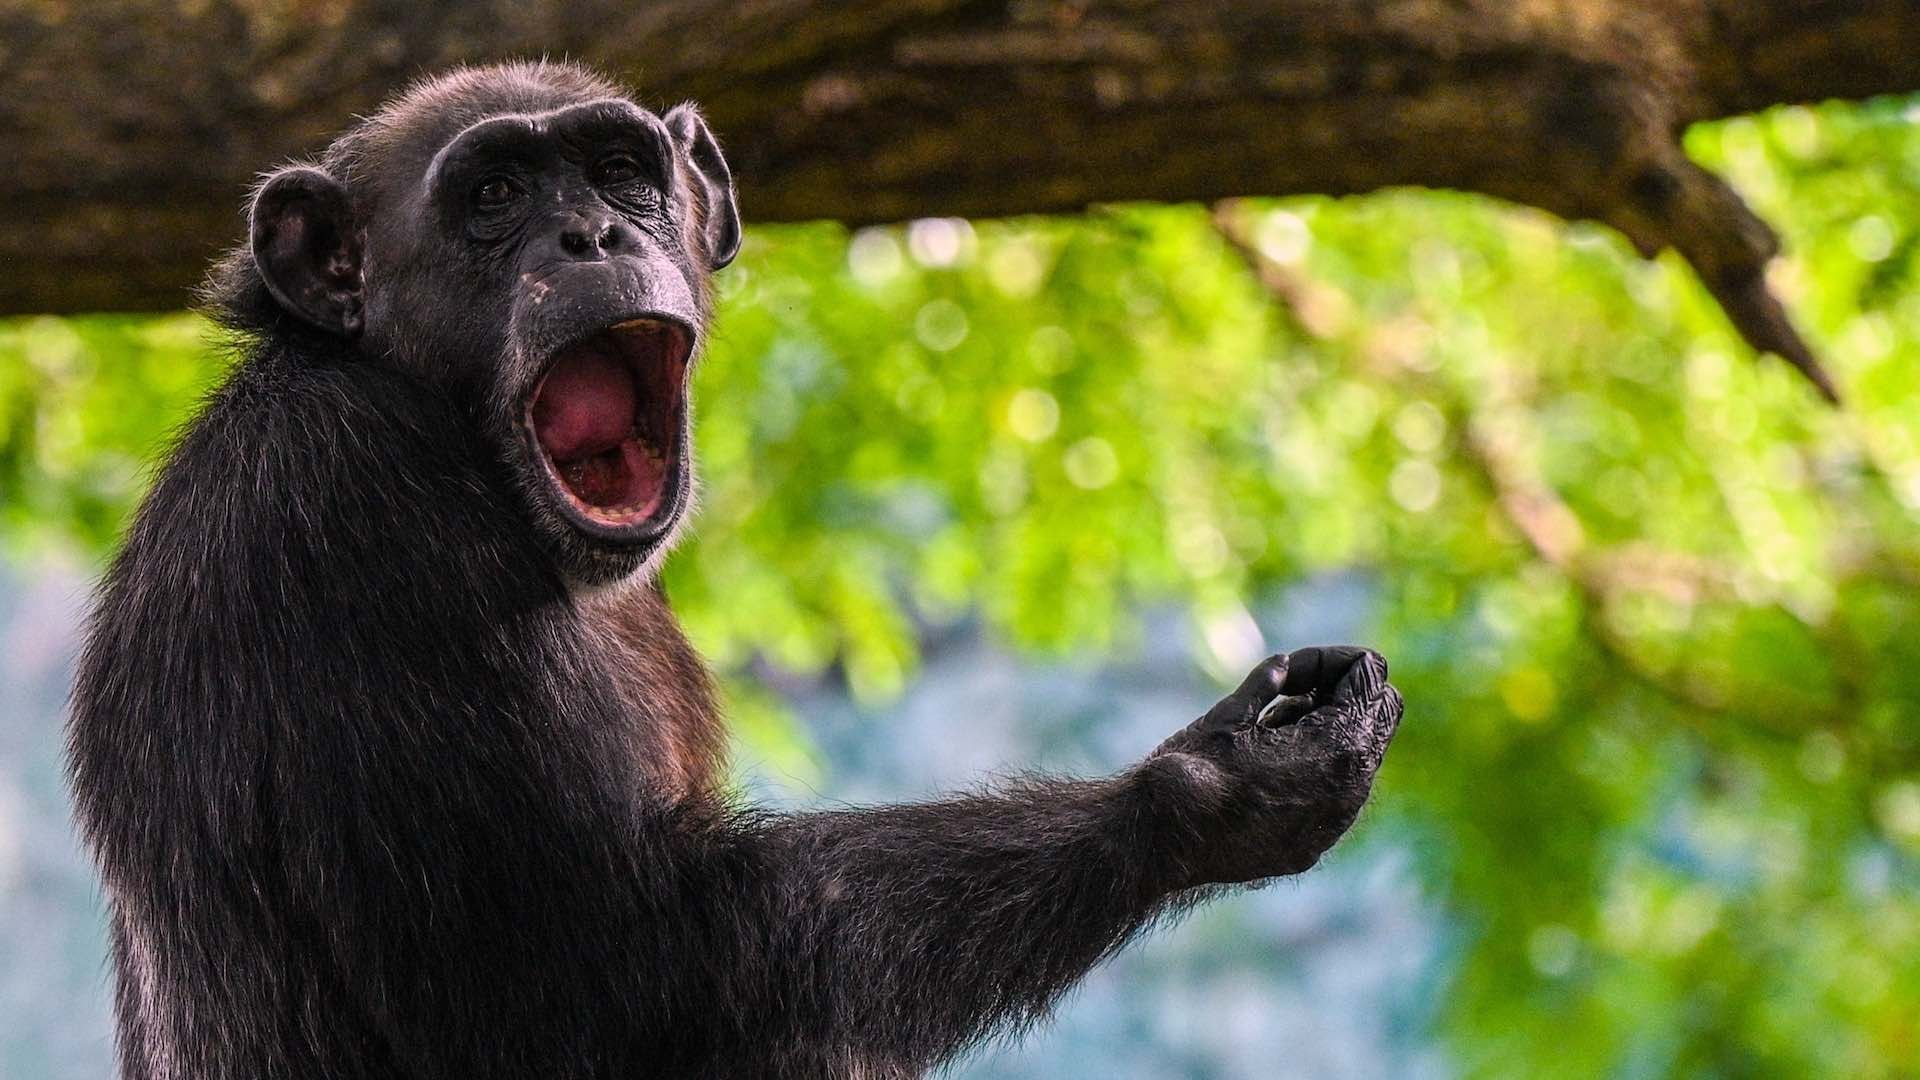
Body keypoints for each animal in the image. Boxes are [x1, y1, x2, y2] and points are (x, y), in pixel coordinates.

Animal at [67, 62, 1405, 1068]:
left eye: (620, 173)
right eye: (493, 192)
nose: (592, 232)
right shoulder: (344, 511)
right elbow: (609, 981)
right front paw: (1213, 781)